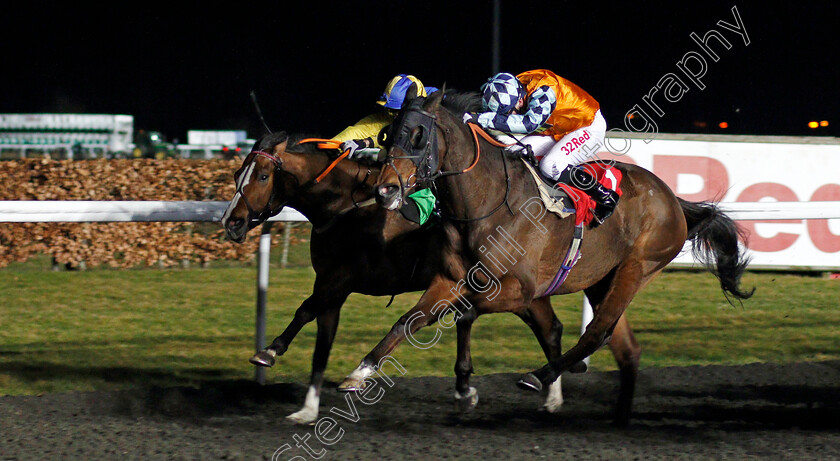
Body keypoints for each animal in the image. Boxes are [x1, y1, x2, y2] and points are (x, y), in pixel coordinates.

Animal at [221, 131, 572, 422]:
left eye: (263, 176)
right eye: (237, 174)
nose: (231, 222)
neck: (345, 207)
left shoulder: (340, 280)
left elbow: (307, 310)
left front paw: (269, 352)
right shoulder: (331, 283)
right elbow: (319, 342)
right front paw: (306, 409)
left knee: (546, 328)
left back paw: (547, 392)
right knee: (548, 328)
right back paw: (546, 395)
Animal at [366, 86, 756, 424]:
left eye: (418, 135)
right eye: (387, 134)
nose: (385, 190)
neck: (486, 202)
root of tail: (672, 198)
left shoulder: (520, 290)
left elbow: (465, 314)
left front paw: (466, 390)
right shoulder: (450, 279)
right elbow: (409, 321)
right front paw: (363, 370)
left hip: (639, 267)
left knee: (597, 333)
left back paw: (541, 377)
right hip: (603, 279)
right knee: (626, 348)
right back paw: (618, 418)